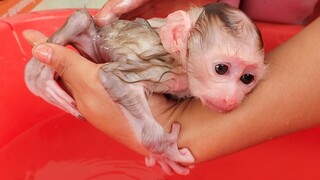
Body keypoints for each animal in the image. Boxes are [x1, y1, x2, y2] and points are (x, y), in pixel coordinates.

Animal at [24, 2, 264, 175]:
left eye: (247, 78)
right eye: (221, 68)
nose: (231, 98)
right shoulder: (165, 71)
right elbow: (114, 78)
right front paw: (162, 149)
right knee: (81, 19)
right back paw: (38, 76)